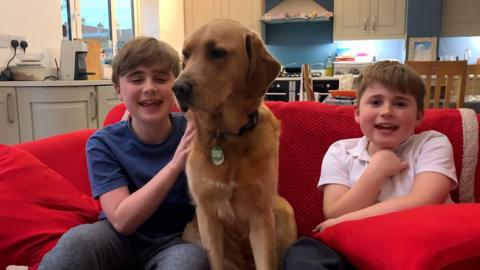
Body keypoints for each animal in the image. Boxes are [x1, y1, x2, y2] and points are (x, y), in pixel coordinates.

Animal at [174, 17, 296, 268]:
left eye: (217, 52)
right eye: (185, 55)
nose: (177, 88)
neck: (225, 135)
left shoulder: (261, 217)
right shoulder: (206, 214)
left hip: (283, 210)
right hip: (191, 231)